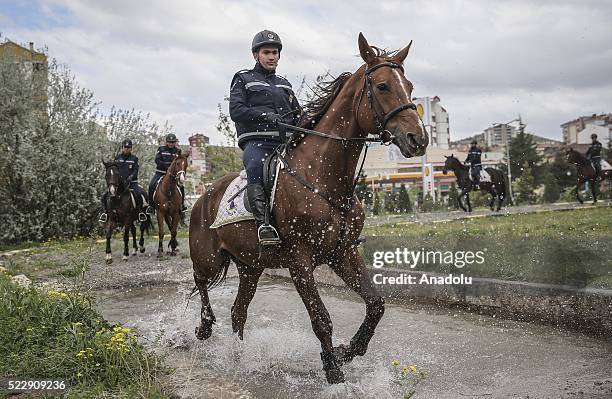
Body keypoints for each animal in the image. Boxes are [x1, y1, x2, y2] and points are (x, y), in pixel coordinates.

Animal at [189, 32, 428, 384]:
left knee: (238, 311)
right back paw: (205, 326)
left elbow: (376, 304)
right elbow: (321, 318)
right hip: (208, 258)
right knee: (201, 282)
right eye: (383, 86)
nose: (418, 139)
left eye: (409, 86)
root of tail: (204, 195)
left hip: (250, 267)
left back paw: (237, 358)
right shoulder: (300, 262)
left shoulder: (343, 254)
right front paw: (333, 370)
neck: (325, 179)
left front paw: (347, 351)